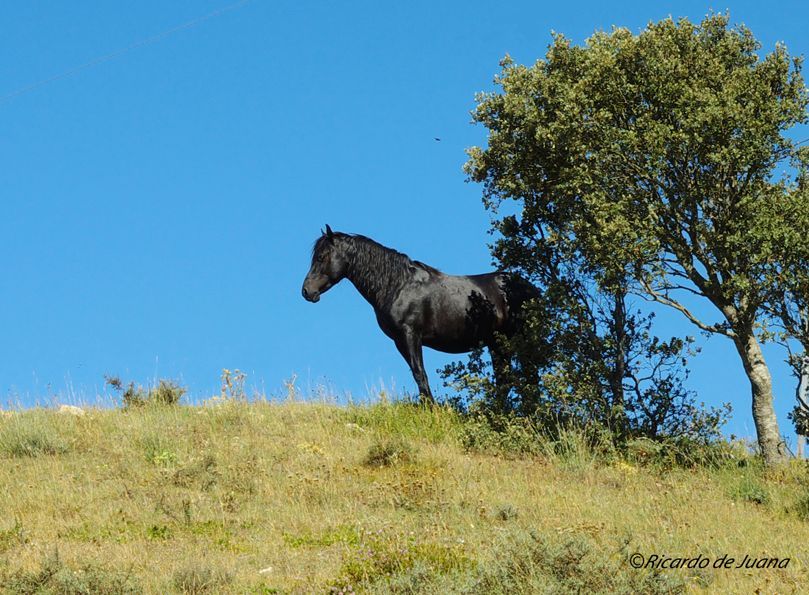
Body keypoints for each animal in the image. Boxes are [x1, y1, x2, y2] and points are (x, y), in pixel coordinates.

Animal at [300, 226, 540, 402]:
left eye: (322, 257)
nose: (306, 291)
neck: (398, 285)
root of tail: (529, 288)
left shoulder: (410, 335)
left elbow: (419, 373)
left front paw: (431, 410)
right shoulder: (399, 341)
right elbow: (417, 374)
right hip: (498, 344)